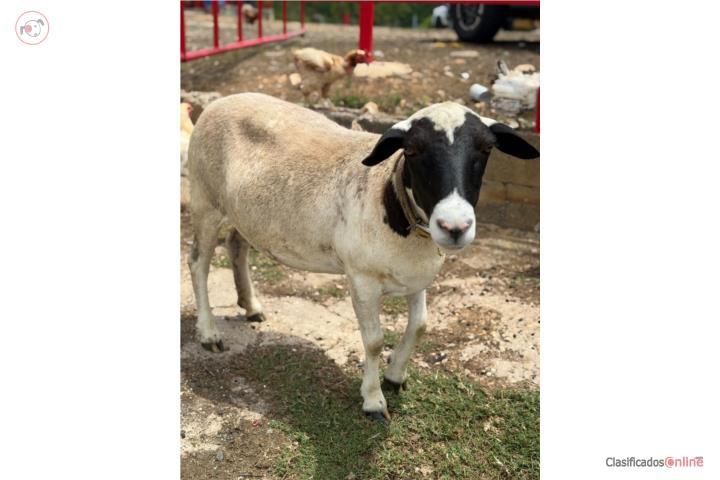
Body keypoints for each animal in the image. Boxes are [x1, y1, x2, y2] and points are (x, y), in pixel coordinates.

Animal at [187, 93, 539, 421]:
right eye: (412, 151)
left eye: (486, 149)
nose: (455, 226)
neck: (388, 195)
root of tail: (220, 101)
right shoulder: (362, 279)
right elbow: (373, 341)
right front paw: (373, 400)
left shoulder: (416, 277)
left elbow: (420, 326)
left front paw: (395, 376)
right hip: (204, 199)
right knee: (198, 263)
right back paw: (209, 333)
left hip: (248, 213)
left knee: (237, 245)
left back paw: (251, 306)